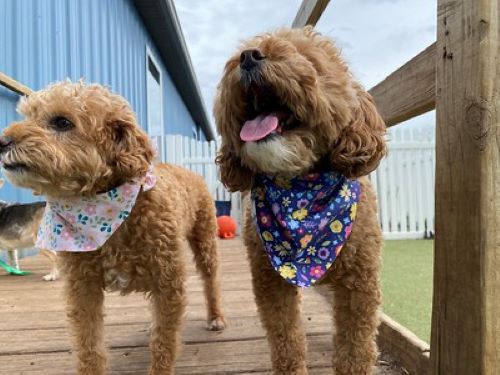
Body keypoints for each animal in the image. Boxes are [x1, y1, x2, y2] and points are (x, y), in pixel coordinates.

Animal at [0, 81, 226, 374]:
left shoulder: (168, 283)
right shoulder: (82, 288)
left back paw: (216, 317)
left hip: (205, 239)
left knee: (211, 281)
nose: (2, 141)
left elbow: (164, 343)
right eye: (28, 114)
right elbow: (89, 346)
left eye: (62, 122)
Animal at [213, 27, 384, 374]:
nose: (248, 56)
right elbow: (287, 340)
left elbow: (355, 348)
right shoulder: (271, 282)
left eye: (307, 58)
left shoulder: (360, 284)